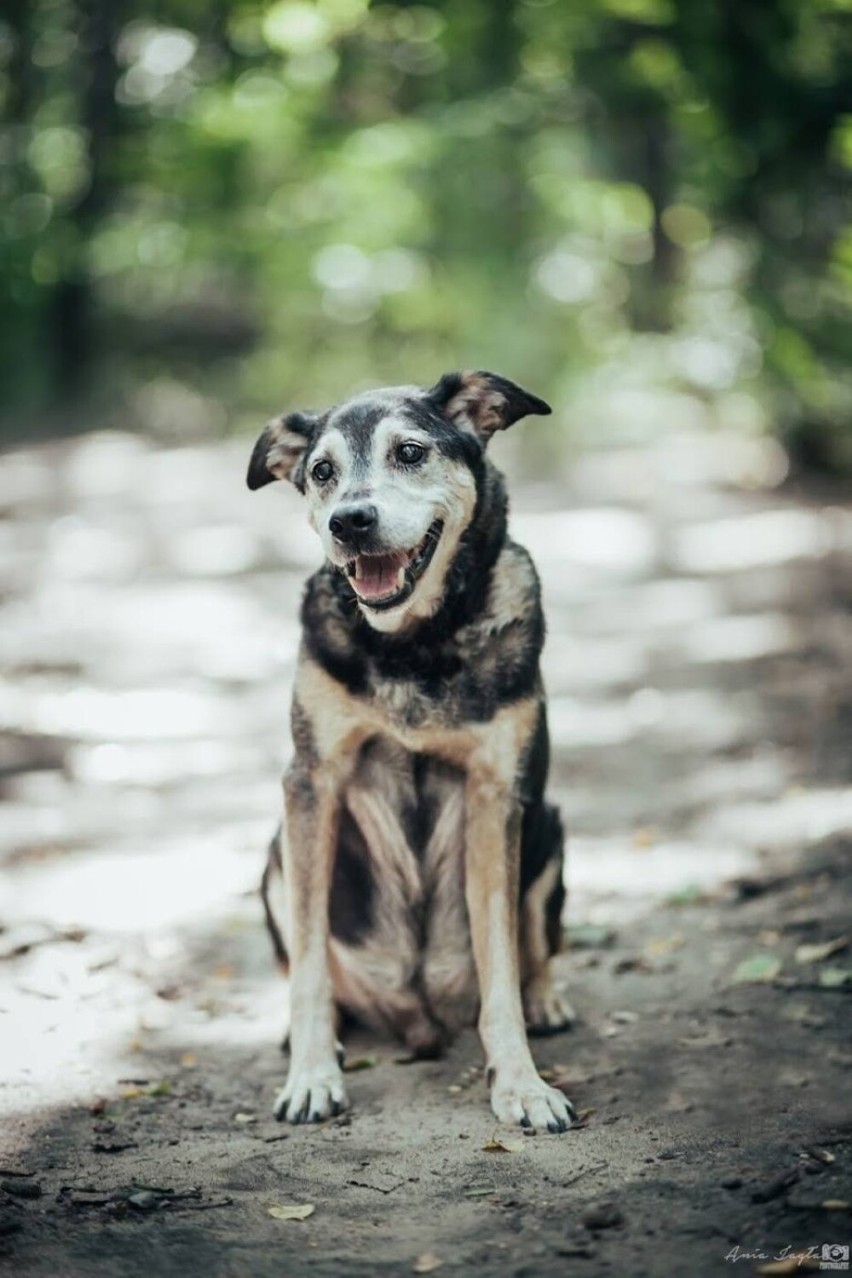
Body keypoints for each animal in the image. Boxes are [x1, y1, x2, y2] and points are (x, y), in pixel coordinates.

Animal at [246, 373, 579, 1134]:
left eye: (409, 451)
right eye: (321, 472)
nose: (350, 522)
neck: (412, 644)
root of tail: (415, 1013)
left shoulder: (497, 793)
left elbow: (502, 962)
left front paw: (522, 1085)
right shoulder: (310, 784)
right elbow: (308, 967)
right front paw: (312, 1074)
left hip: (548, 826)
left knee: (538, 941)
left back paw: (547, 1000)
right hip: (276, 853)